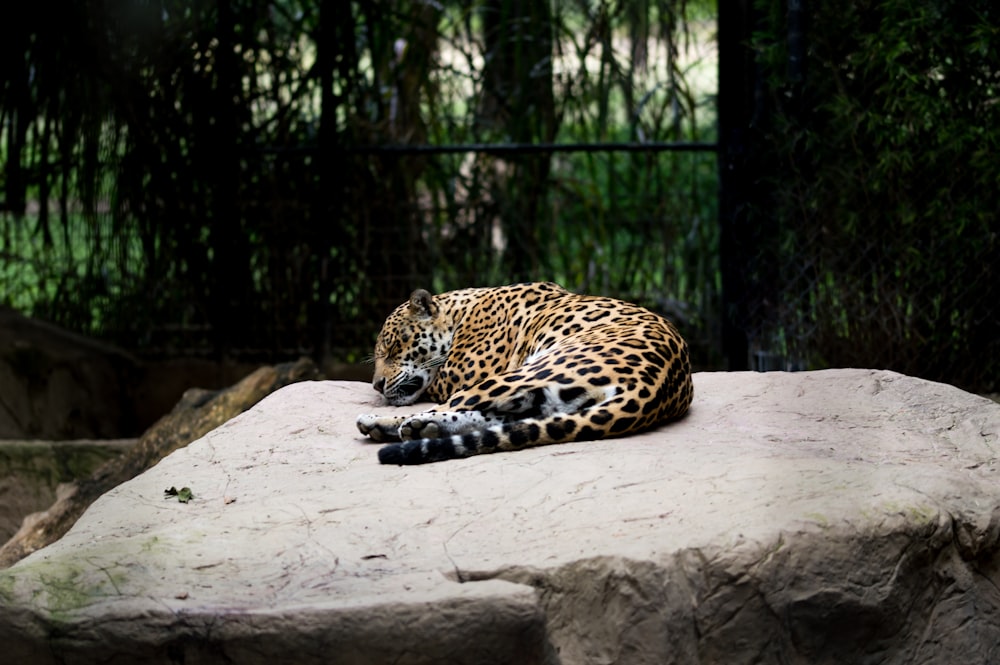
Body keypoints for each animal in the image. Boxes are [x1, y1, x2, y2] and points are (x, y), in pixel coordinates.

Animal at [356, 282, 692, 464]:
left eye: (393, 347)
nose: (377, 385)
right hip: (551, 394)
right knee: (509, 419)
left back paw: (391, 424)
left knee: (456, 408)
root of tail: (652, 388)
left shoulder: (460, 373)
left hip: (528, 370)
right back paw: (423, 429)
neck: (461, 313)